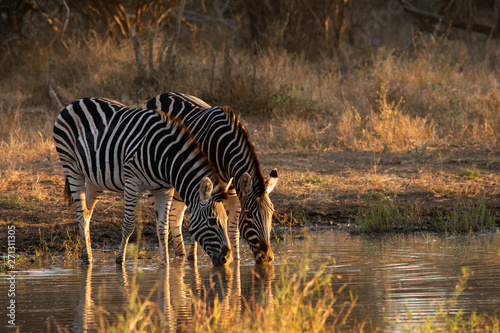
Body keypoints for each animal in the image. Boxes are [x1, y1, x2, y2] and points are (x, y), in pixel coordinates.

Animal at [53, 96, 233, 264]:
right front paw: (120, 261)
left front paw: (165, 264)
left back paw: (88, 258)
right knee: (81, 214)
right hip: (71, 166)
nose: (227, 258)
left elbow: (163, 227)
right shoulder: (132, 182)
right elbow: (128, 225)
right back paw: (87, 259)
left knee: (87, 213)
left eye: (226, 219)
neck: (166, 158)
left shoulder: (164, 189)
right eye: (212, 221)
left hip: (94, 178)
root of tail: (75, 102)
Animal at [146, 92, 278, 264]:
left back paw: (180, 256)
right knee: (162, 220)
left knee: (176, 216)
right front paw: (195, 258)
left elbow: (232, 229)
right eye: (249, 215)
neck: (224, 147)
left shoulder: (233, 192)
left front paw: (236, 261)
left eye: (271, 213)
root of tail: (162, 94)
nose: (267, 257)